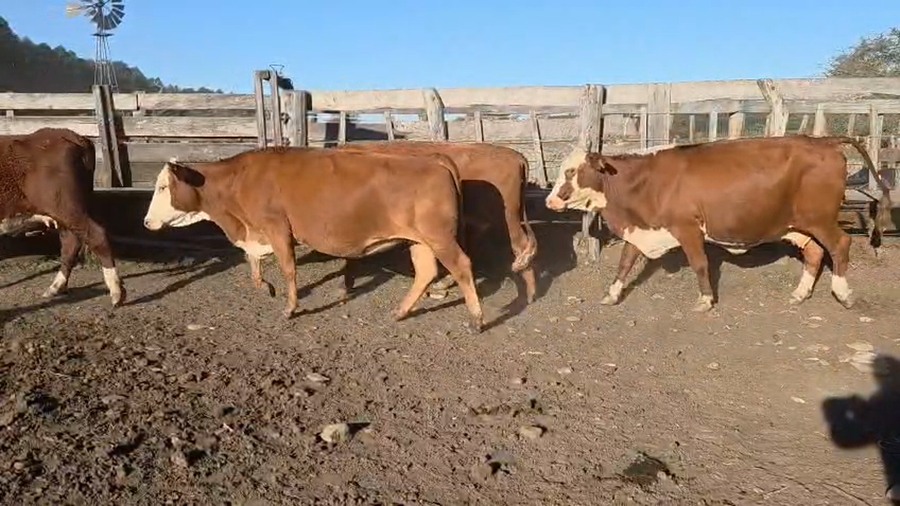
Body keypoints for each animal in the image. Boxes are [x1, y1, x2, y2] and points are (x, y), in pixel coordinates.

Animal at [0, 127, 125, 307]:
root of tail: (71, 135)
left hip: (65, 206)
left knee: (95, 235)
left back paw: (116, 291)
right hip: (67, 211)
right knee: (70, 243)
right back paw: (56, 287)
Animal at [142, 147, 485, 332]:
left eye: (162, 187)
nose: (146, 222)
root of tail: (435, 157)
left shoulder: (277, 227)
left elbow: (288, 269)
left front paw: (289, 307)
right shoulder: (256, 232)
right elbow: (253, 265)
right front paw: (265, 287)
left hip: (439, 238)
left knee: (462, 266)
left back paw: (476, 318)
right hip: (420, 241)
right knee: (426, 272)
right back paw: (400, 312)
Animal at [544, 135, 892, 312]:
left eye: (570, 172)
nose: (550, 201)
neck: (647, 182)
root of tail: (823, 141)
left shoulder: (687, 228)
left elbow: (700, 264)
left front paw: (705, 300)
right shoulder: (642, 230)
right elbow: (625, 263)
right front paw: (613, 294)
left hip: (819, 219)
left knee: (840, 245)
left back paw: (843, 293)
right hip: (798, 225)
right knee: (815, 253)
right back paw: (800, 293)